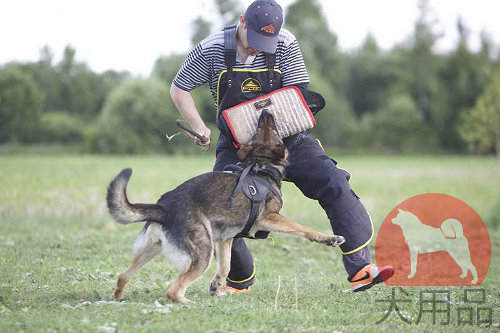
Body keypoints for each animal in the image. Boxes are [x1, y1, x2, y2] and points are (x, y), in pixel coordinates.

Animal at [107, 110, 346, 302]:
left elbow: (226, 266)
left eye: (261, 128)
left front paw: (216, 286)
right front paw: (330, 239)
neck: (260, 165)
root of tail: (164, 207)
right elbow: (303, 229)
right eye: (271, 128)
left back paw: (118, 297)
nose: (265, 111)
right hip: (202, 252)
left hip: (152, 249)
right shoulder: (270, 218)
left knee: (122, 276)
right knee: (173, 291)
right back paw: (190, 303)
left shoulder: (225, 239)